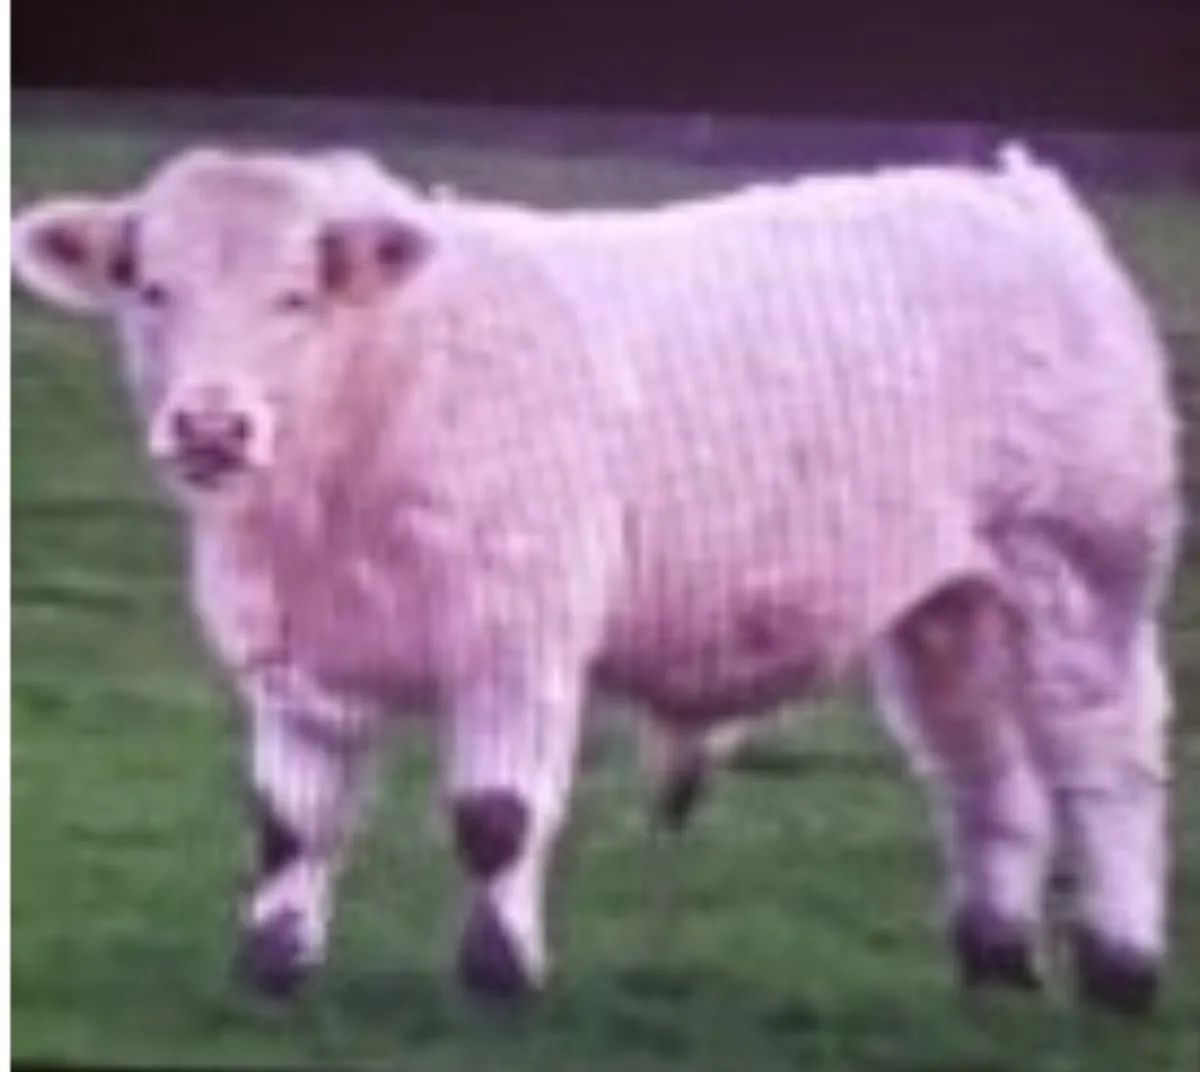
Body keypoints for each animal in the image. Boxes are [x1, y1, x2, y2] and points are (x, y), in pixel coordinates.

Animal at [10, 141, 1181, 1016]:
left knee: (1106, 760)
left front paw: (501, 976)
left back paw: (1122, 967)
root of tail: (1014, 191)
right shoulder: (299, 651)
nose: (210, 426)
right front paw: (273, 965)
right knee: (986, 770)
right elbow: (289, 820)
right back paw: (996, 956)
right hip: (950, 608)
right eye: (150, 290)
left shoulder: (517, 627)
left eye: (296, 296)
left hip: (1080, 568)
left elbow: (494, 817)